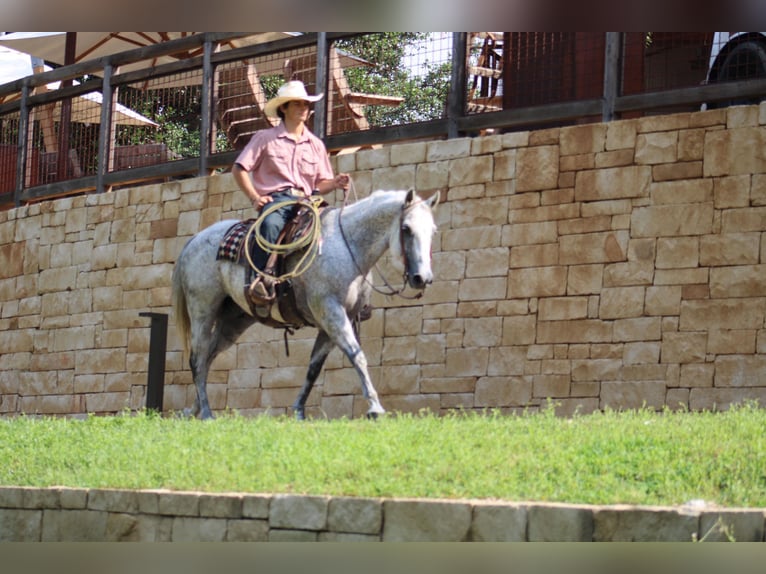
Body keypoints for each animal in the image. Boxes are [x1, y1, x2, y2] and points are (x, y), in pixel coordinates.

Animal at [172, 191, 440, 420]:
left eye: (433, 231)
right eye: (406, 228)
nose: (423, 278)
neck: (347, 247)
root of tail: (194, 240)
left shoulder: (331, 322)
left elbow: (314, 367)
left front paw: (299, 411)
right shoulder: (331, 312)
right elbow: (357, 354)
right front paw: (375, 407)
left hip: (233, 321)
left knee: (208, 357)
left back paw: (194, 410)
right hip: (202, 311)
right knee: (197, 358)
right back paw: (207, 413)